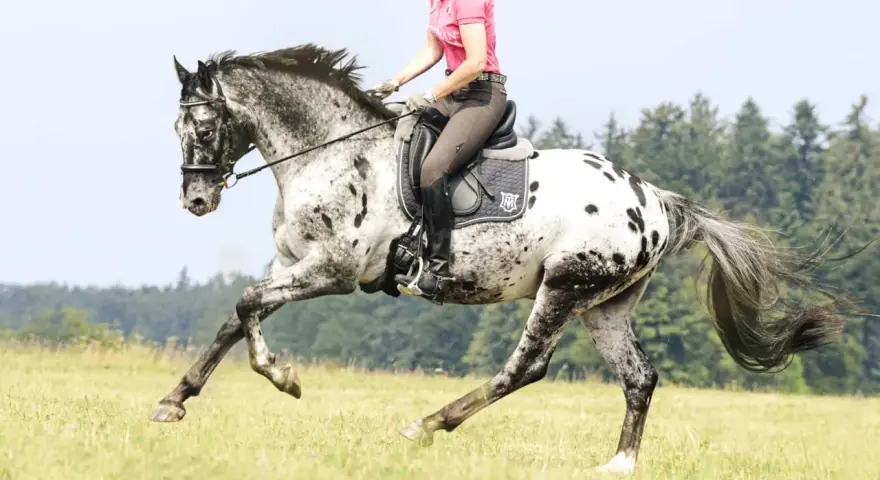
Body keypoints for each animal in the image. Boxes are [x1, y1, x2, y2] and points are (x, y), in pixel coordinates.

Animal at [155, 43, 848, 474]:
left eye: (205, 128)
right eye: (177, 130)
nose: (195, 200)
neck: (332, 152)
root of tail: (656, 201)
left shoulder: (332, 273)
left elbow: (246, 306)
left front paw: (282, 375)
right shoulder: (291, 267)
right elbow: (235, 317)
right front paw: (175, 400)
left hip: (564, 285)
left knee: (525, 368)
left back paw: (426, 425)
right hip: (605, 305)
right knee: (639, 377)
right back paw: (618, 464)